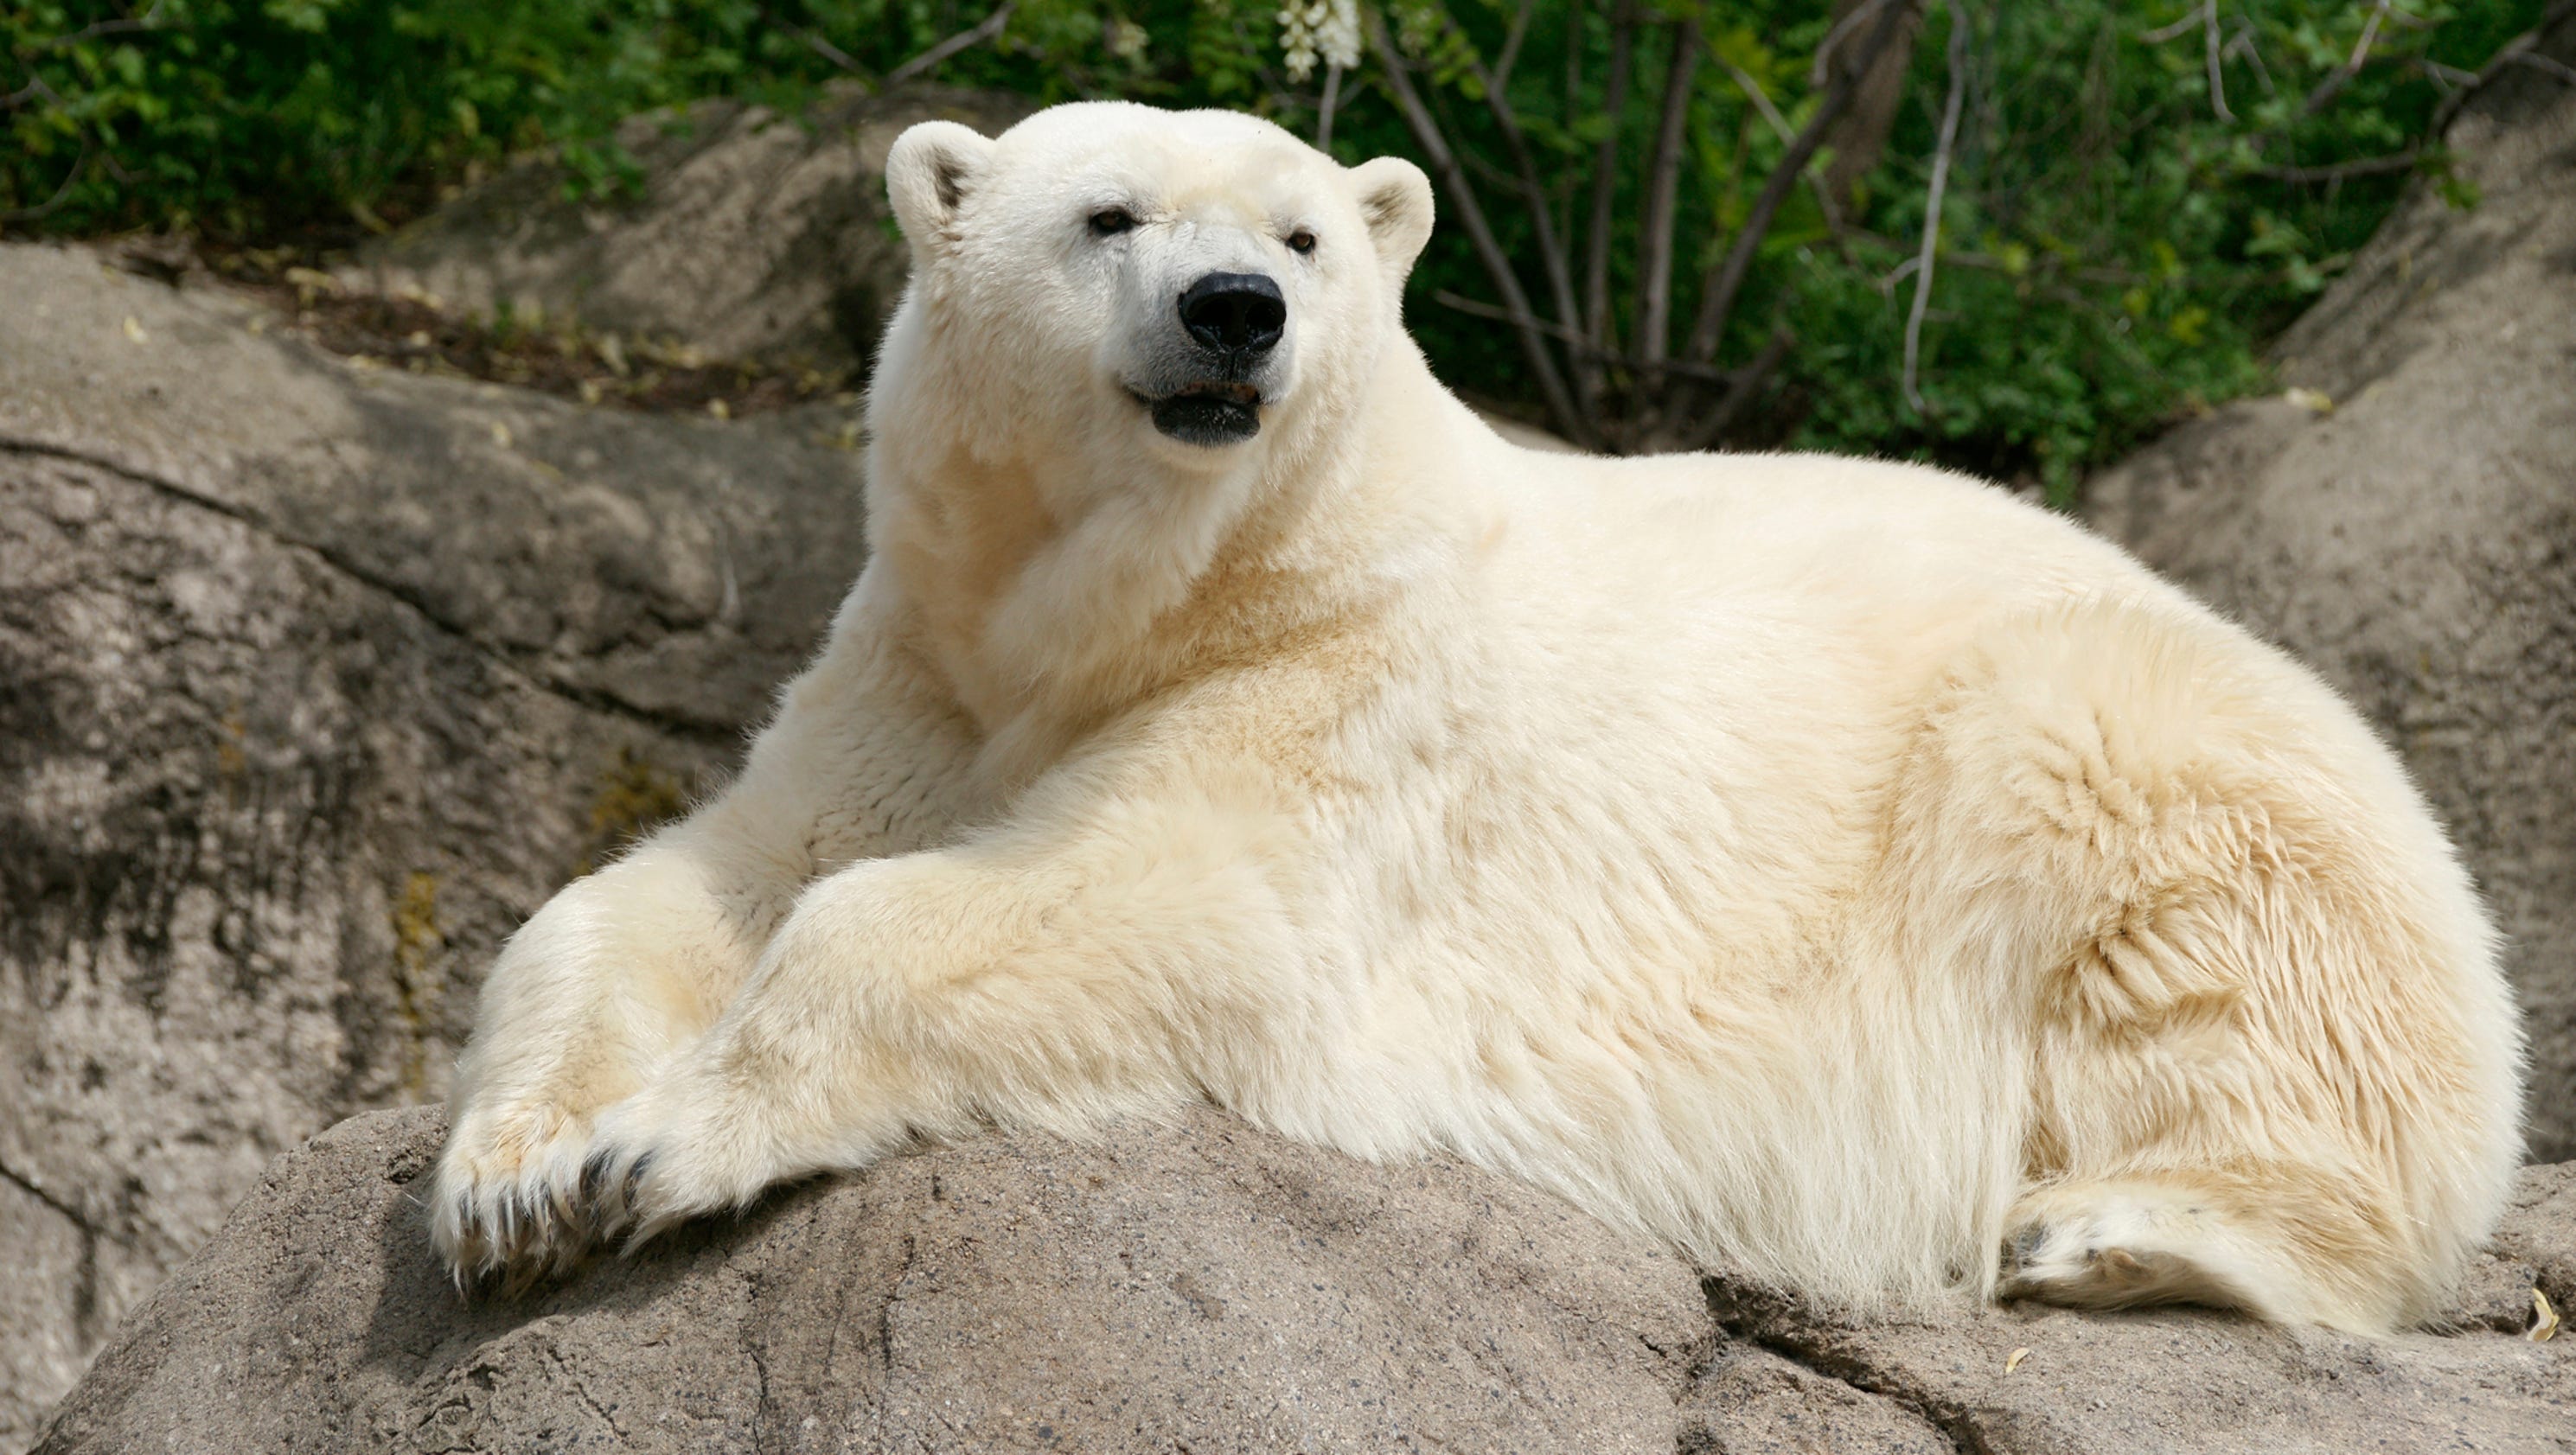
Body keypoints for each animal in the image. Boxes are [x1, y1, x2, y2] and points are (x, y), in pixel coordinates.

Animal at [429, 101, 2523, 1334]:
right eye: (1105, 214)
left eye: (1301, 237)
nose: (1230, 313)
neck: (1167, 592)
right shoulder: (923, 664)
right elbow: (691, 880)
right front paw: (514, 1172)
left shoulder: (1348, 688)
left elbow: (1151, 900)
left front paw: (654, 1148)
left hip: (2150, 749)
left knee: (2231, 962)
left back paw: (2102, 1233)